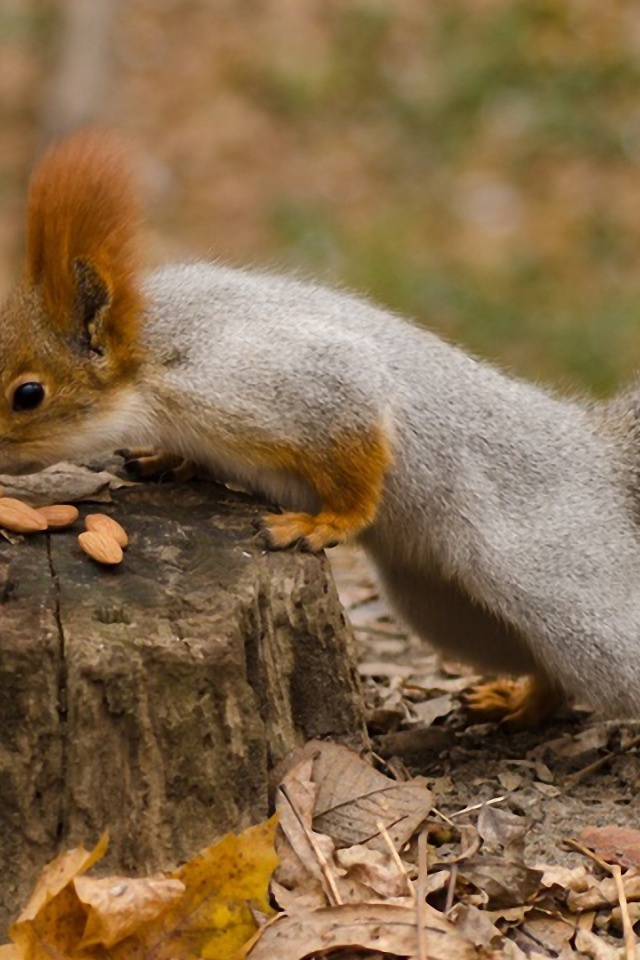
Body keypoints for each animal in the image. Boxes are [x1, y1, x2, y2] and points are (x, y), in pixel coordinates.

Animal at [1, 127, 640, 728]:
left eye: (28, 394)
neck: (155, 354)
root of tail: (597, 453)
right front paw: (168, 460)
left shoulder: (285, 380)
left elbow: (356, 441)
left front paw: (324, 524)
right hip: (448, 608)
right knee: (549, 672)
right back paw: (519, 702)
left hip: (564, 591)